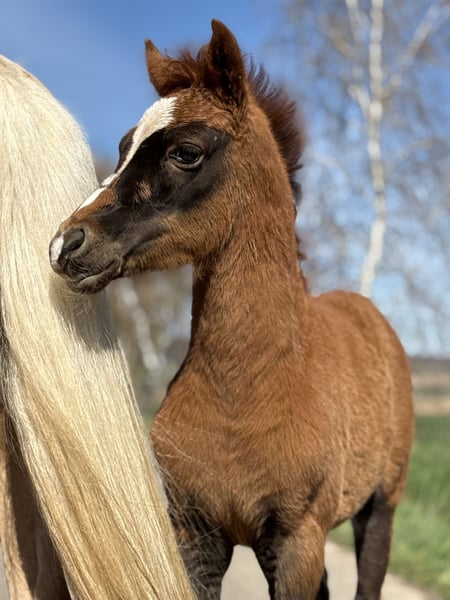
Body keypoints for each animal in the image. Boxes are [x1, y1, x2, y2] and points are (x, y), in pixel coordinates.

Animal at [49, 20, 415, 599]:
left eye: (187, 151)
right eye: (125, 145)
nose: (66, 243)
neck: (245, 392)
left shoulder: (296, 542)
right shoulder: (196, 534)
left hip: (380, 506)